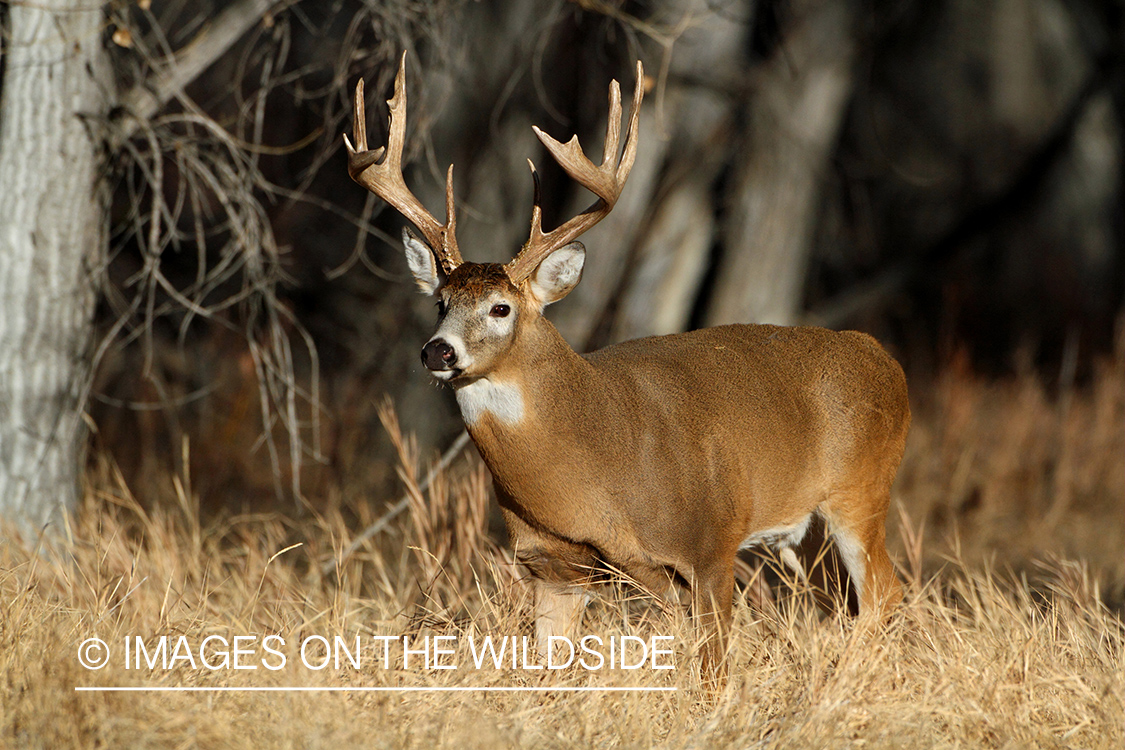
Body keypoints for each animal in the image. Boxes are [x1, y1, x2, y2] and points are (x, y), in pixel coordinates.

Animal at [339, 54, 904, 674]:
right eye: (440, 303)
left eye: (500, 307)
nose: (437, 350)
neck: (587, 471)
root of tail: (884, 359)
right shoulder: (553, 565)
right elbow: (548, 668)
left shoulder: (711, 540)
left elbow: (711, 667)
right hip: (804, 532)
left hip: (860, 492)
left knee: (885, 593)